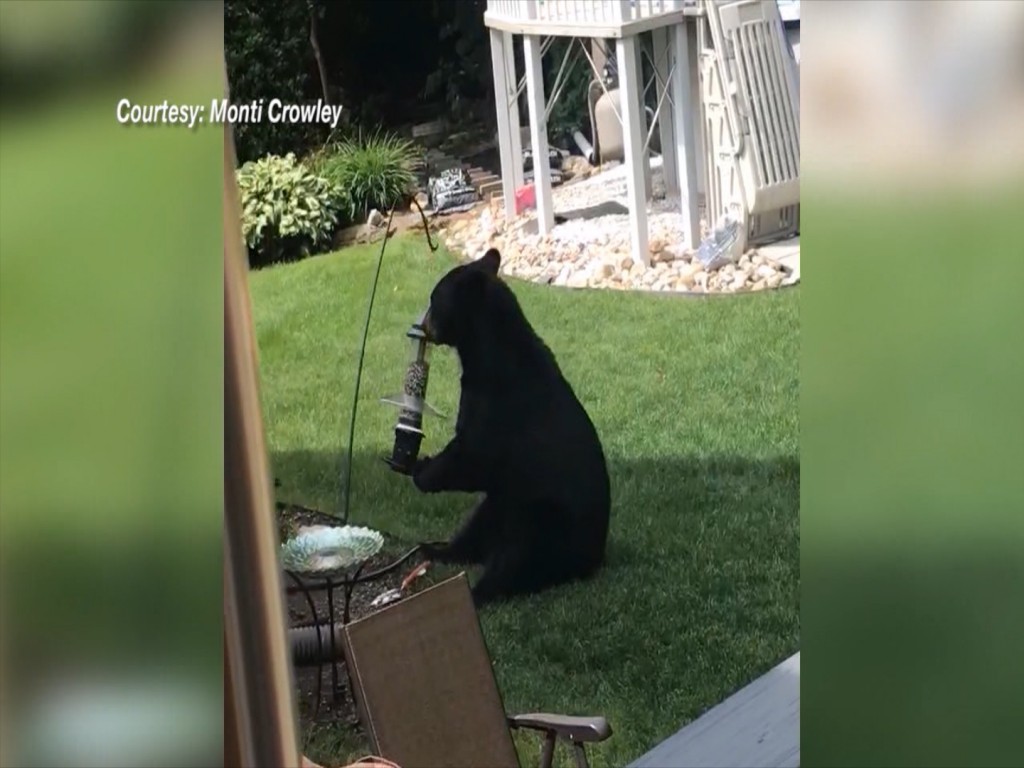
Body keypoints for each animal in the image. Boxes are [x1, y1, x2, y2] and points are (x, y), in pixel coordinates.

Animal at [411, 248, 611, 606]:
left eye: (435, 299)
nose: (422, 325)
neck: (488, 349)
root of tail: (593, 560)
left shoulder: (497, 402)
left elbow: (474, 453)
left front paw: (423, 472)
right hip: (501, 501)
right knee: (476, 530)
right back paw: (435, 550)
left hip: (540, 519)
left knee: (517, 559)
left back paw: (477, 592)